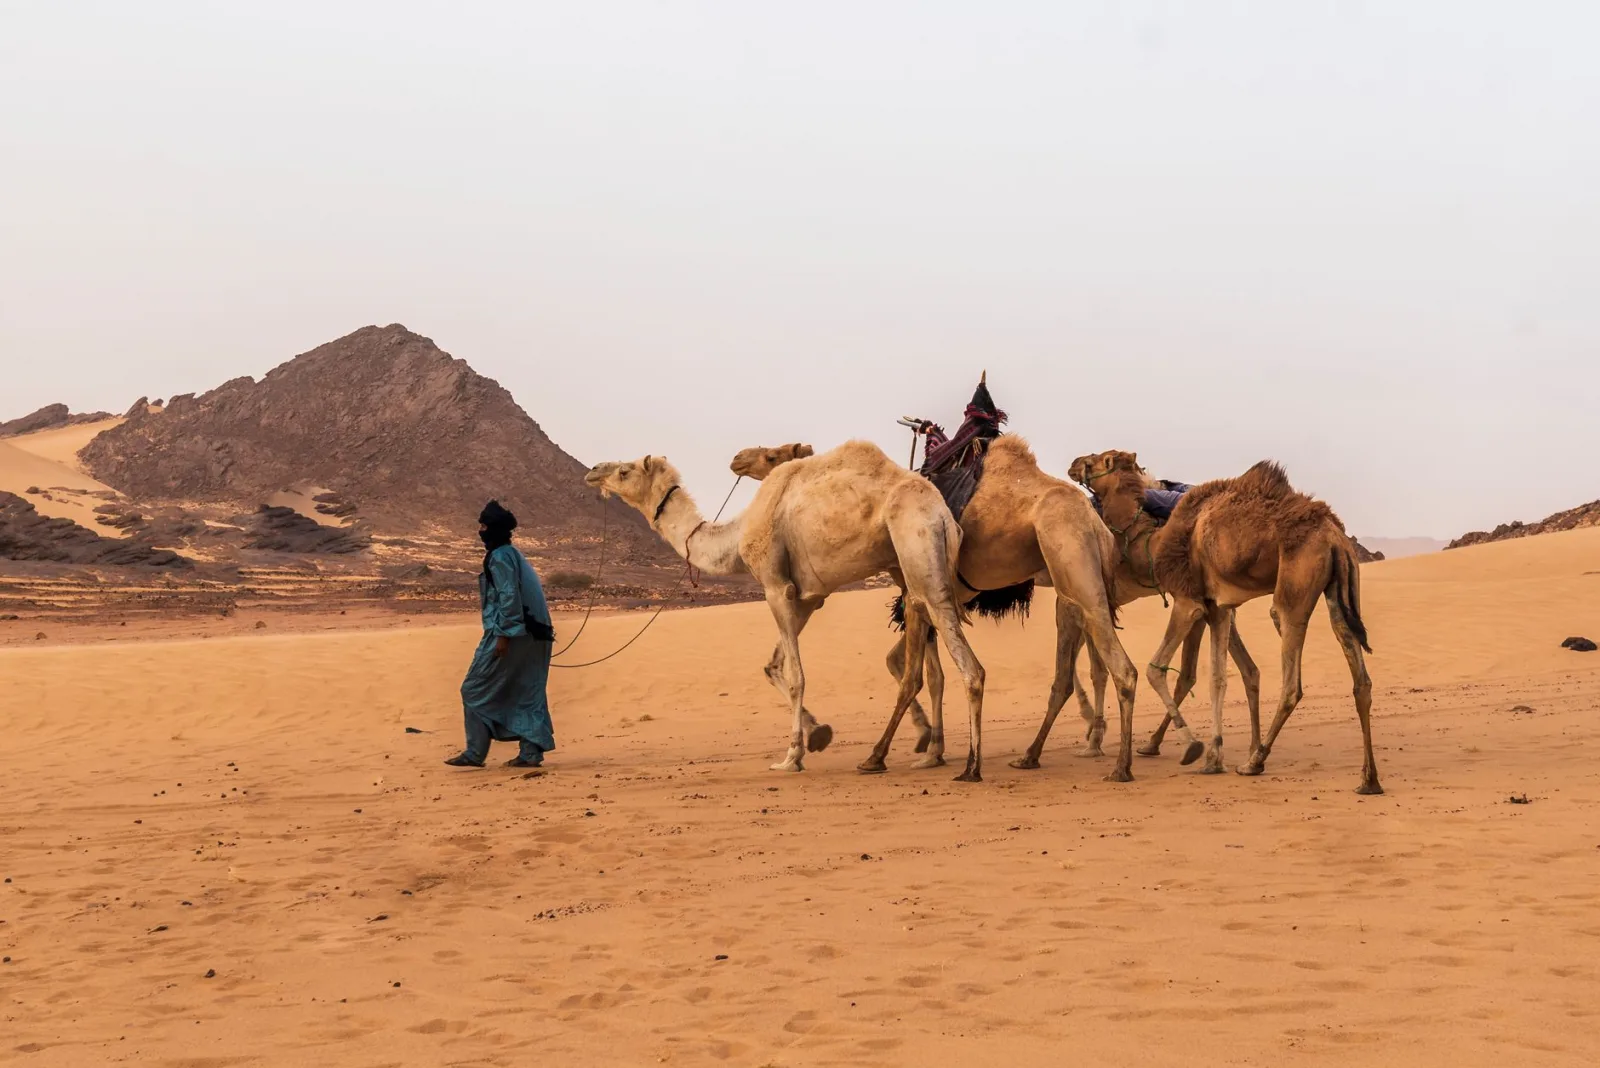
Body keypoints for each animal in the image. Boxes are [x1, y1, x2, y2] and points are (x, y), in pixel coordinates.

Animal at [584, 442, 990, 779]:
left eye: (625, 470)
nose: (593, 470)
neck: (735, 534)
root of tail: (943, 515)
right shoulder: (809, 596)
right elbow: (774, 665)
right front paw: (818, 733)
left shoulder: (775, 586)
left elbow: (796, 676)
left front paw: (792, 756)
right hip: (906, 569)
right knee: (929, 661)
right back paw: (921, 754)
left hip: (919, 549)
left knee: (967, 666)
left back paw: (965, 766)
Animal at [729, 434, 1145, 782]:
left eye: (772, 455)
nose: (736, 459)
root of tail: (1092, 516)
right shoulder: (924, 596)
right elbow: (929, 673)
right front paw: (932, 748)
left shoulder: (913, 594)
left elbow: (914, 672)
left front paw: (904, 750)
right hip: (1074, 582)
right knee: (1081, 666)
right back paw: (1052, 752)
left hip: (1071, 561)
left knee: (1114, 667)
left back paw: (1114, 761)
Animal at [1071, 450, 1381, 794]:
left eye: (1096, 460)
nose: (1073, 465)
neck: (1155, 540)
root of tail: (1334, 536)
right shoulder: (1216, 607)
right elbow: (1217, 678)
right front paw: (1213, 757)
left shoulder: (1188, 600)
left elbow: (1156, 669)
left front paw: (1193, 748)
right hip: (1340, 587)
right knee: (1359, 674)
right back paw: (1369, 780)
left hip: (1294, 587)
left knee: (1291, 680)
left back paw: (1254, 761)